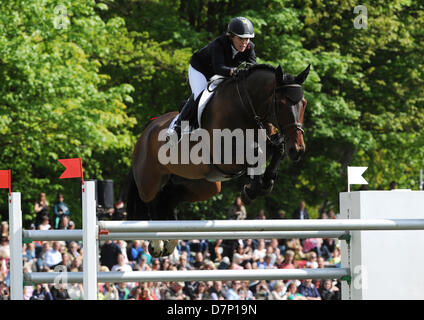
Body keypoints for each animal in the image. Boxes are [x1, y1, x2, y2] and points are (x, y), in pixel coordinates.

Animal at [126, 63, 308, 256]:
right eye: (281, 104)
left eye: (303, 103)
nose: (297, 150)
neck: (247, 106)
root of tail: (147, 129)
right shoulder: (225, 156)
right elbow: (255, 150)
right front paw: (252, 188)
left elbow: (276, 149)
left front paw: (263, 184)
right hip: (149, 180)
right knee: (151, 201)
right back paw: (157, 244)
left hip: (203, 185)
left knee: (168, 198)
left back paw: (170, 243)